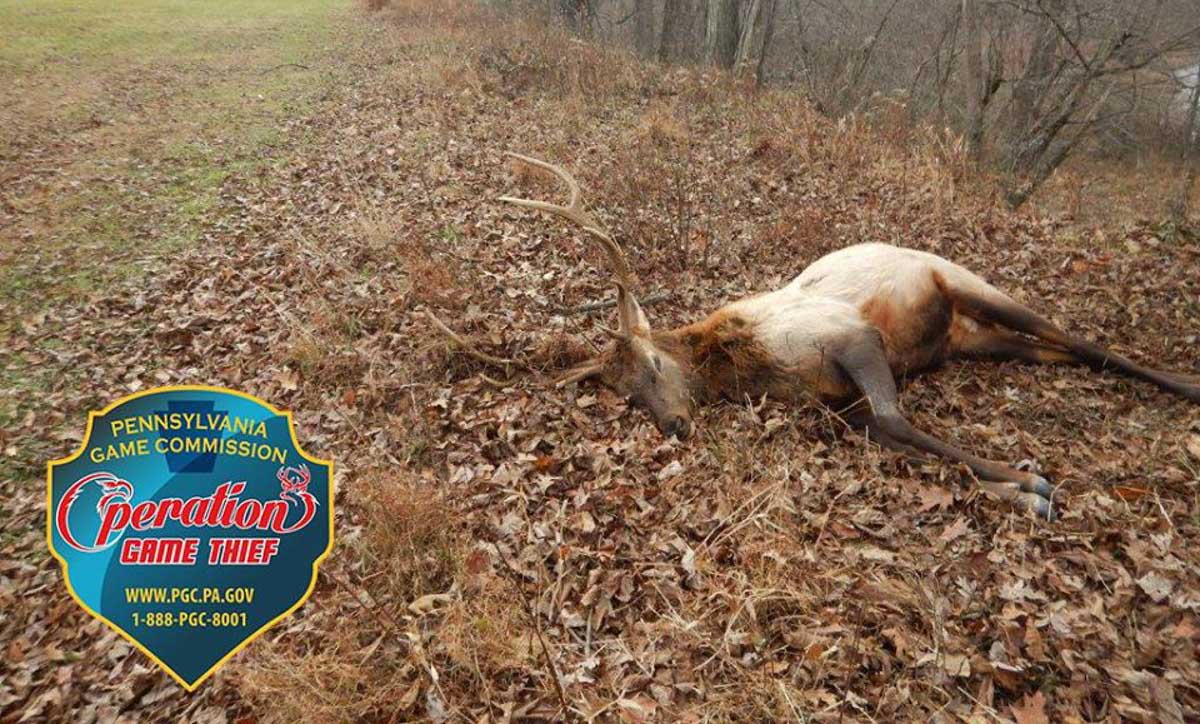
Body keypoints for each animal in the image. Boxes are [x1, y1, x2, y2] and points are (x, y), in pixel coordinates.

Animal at [496, 153, 1200, 519]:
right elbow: (893, 441)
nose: (674, 425)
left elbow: (896, 422)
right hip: (968, 337)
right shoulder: (836, 404)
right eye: (626, 395)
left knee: (1077, 339)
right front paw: (1020, 492)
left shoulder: (855, 338)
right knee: (1054, 350)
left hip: (965, 282)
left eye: (653, 366)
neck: (751, 365)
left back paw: (1186, 384)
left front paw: (1031, 484)